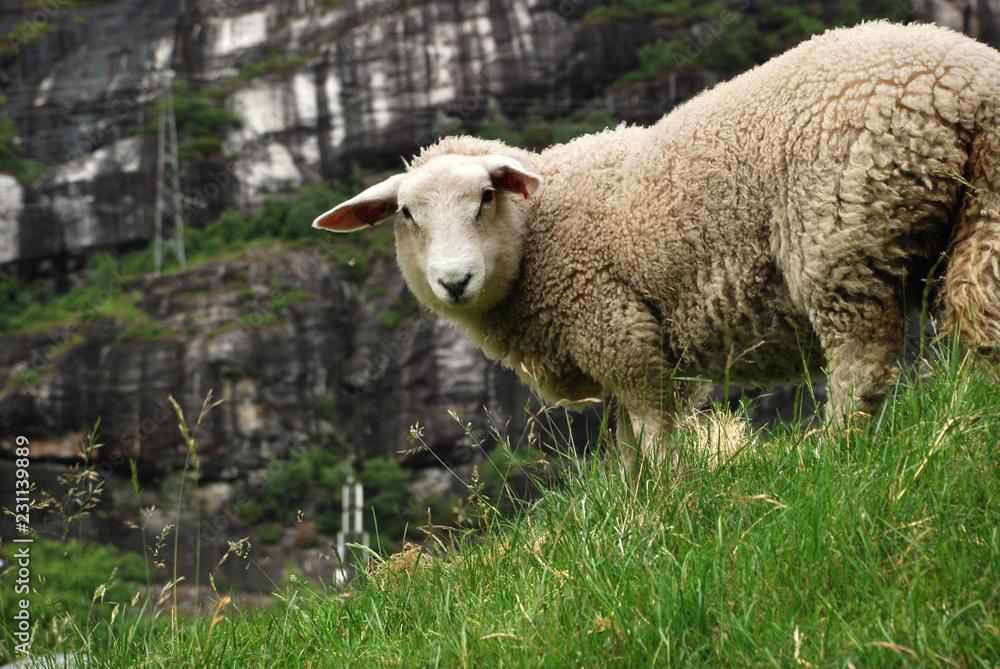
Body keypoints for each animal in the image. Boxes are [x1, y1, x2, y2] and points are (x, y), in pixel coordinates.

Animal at [313, 21, 1000, 464]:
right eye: (407, 214)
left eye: (486, 196)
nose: (454, 281)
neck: (540, 228)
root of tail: (965, 79)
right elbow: (626, 452)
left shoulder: (620, 334)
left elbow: (652, 439)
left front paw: (660, 508)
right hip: (979, 209)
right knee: (980, 315)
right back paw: (976, 417)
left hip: (839, 238)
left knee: (862, 363)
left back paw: (835, 455)